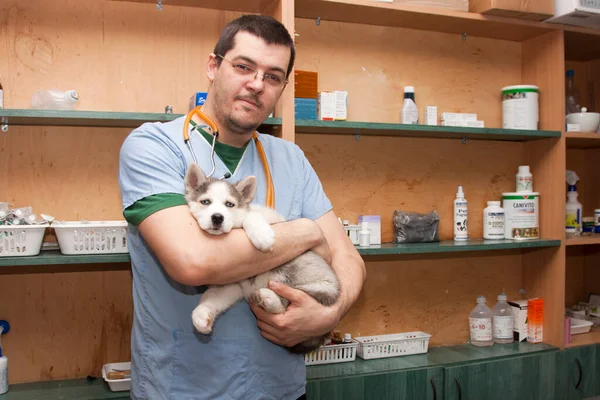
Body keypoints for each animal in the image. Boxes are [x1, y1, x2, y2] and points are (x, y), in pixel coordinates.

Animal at [184, 162, 338, 354]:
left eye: (229, 204)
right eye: (205, 202)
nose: (217, 218)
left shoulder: (277, 222)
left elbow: (251, 216)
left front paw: (262, 236)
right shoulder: (231, 286)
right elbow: (211, 297)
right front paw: (201, 314)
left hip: (313, 286)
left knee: (285, 306)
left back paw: (269, 298)